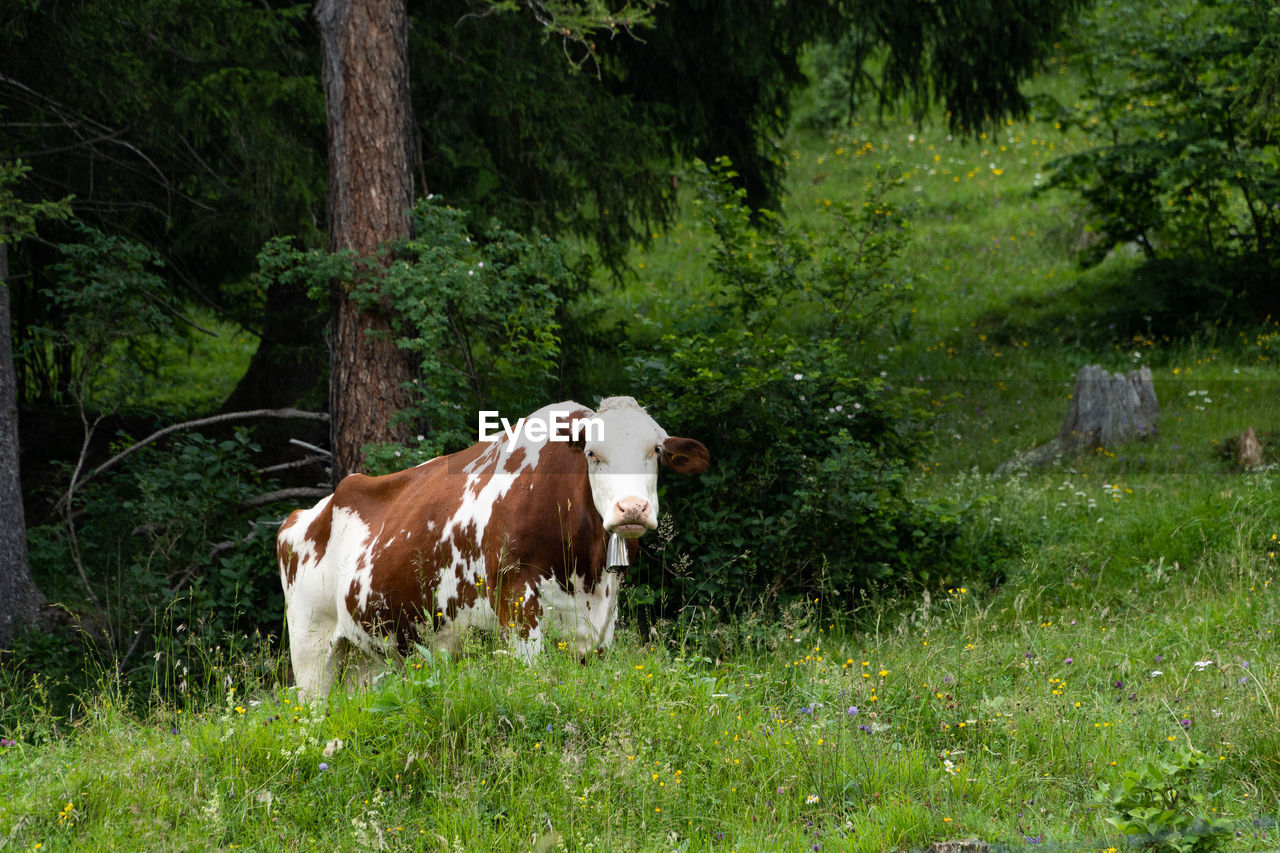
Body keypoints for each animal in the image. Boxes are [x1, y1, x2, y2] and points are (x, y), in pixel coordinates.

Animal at [276, 394, 711, 696]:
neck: (585, 568)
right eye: (592, 453)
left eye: (655, 451)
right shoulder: (518, 606)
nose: (632, 507)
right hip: (311, 646)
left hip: (366, 655)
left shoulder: (598, 629)